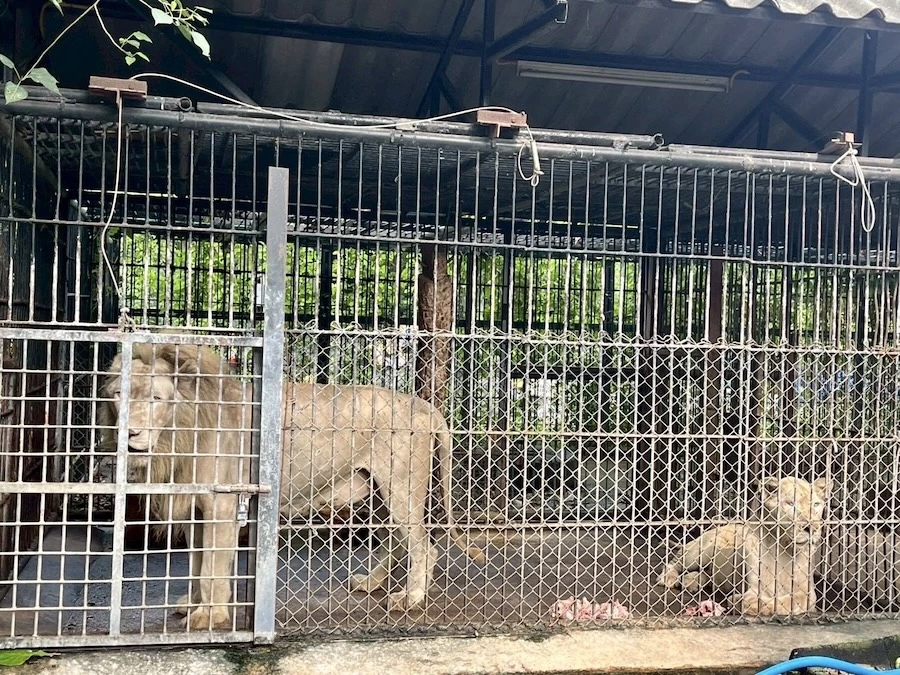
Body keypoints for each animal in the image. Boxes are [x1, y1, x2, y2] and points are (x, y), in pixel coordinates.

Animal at [98, 342, 484, 630]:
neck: (179, 433)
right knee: (396, 541)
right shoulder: (195, 506)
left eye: (156, 399)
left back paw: (410, 598)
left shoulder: (222, 504)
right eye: (119, 394)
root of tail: (425, 406)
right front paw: (192, 605)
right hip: (377, 493)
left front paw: (210, 617)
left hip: (400, 488)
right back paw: (370, 582)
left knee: (423, 546)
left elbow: (211, 569)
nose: (129, 433)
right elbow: (197, 564)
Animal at [658, 475, 832, 617]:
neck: (783, 548)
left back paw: (691, 581)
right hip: (699, 551)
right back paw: (669, 578)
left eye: (816, 504)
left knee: (708, 574)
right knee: (674, 562)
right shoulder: (754, 586)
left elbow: (791, 601)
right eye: (790, 503)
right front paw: (742, 601)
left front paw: (745, 602)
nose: (812, 528)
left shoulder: (808, 593)